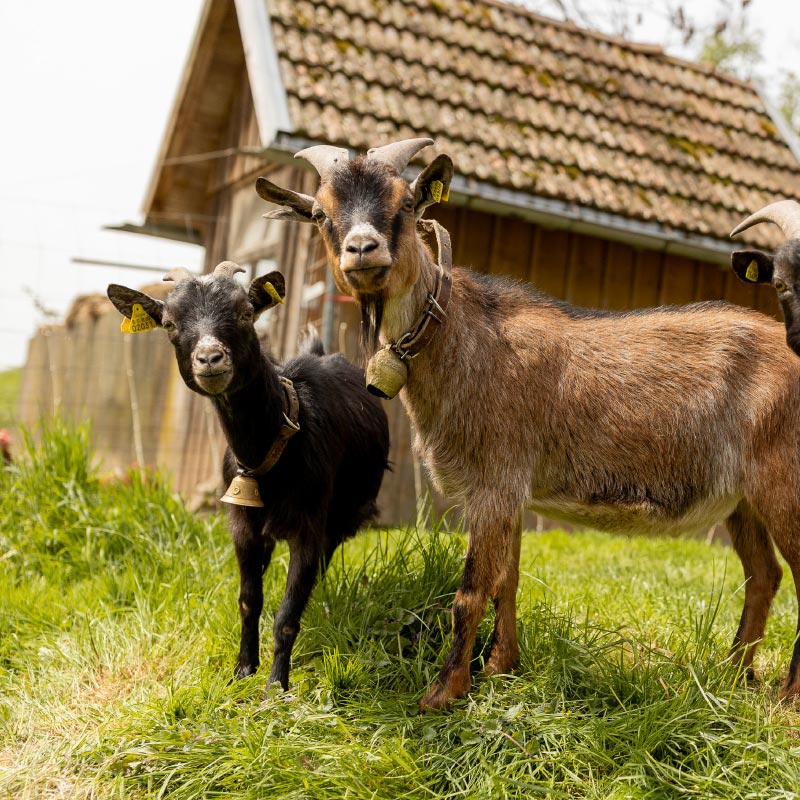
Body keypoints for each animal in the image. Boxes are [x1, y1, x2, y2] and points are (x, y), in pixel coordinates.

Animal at [106, 262, 390, 691]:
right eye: (170, 324)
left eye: (244, 312)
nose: (209, 358)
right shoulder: (242, 524)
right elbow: (248, 600)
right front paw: (242, 669)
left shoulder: (309, 523)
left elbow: (288, 613)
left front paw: (276, 685)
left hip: (344, 513)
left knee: (323, 561)